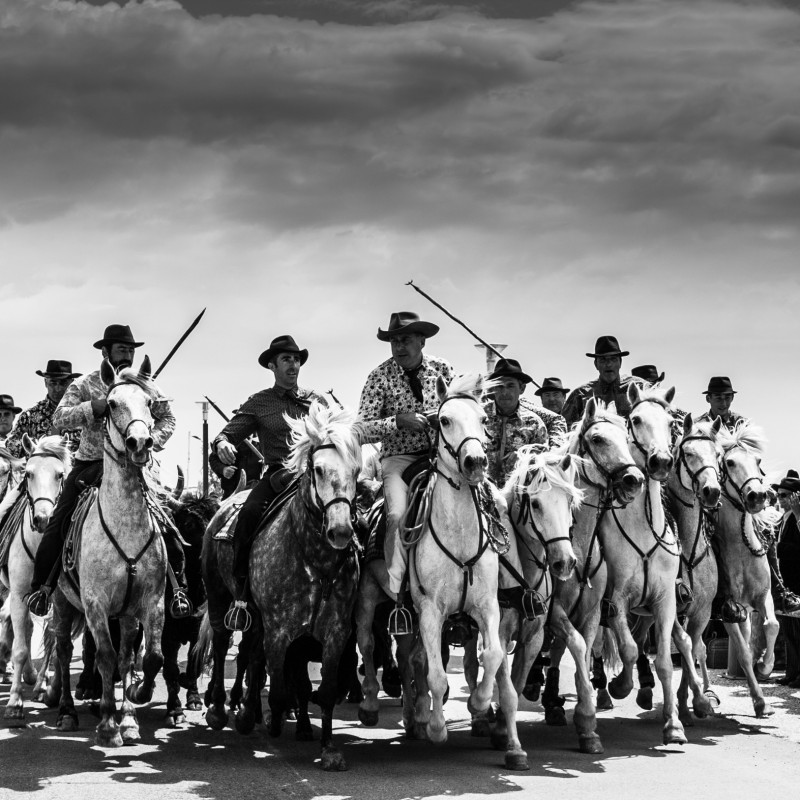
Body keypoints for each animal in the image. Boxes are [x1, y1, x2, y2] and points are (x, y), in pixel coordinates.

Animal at [200, 404, 362, 772]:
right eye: (318, 469)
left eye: (356, 470)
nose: (341, 531)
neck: (315, 561)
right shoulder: (279, 630)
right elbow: (279, 689)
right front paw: (270, 722)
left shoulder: (336, 633)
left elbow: (325, 690)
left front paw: (329, 748)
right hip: (218, 595)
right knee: (222, 641)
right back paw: (218, 708)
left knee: (250, 654)